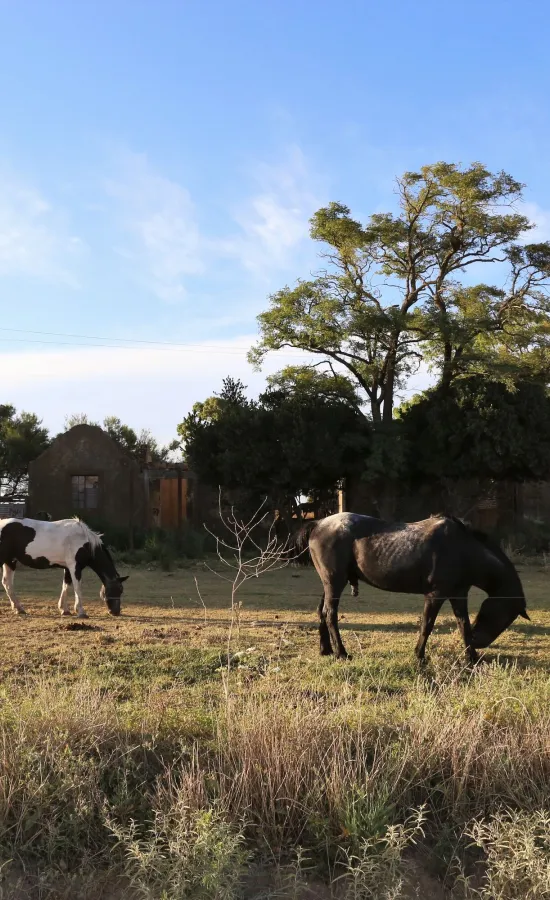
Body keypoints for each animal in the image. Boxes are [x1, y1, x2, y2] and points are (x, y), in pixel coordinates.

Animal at [0, 520, 129, 620]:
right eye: (119, 589)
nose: (116, 612)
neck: (85, 542)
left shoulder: (67, 568)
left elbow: (66, 586)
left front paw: (64, 609)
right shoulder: (75, 567)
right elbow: (77, 588)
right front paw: (81, 612)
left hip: (10, 562)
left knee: (7, 583)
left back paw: (19, 608)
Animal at [296, 510, 532, 664]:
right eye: (506, 617)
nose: (479, 641)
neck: (463, 549)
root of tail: (318, 524)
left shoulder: (458, 594)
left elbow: (463, 625)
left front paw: (471, 657)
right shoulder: (435, 594)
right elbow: (427, 625)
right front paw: (419, 655)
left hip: (330, 583)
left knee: (322, 611)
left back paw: (326, 650)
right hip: (335, 581)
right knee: (330, 614)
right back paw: (342, 653)